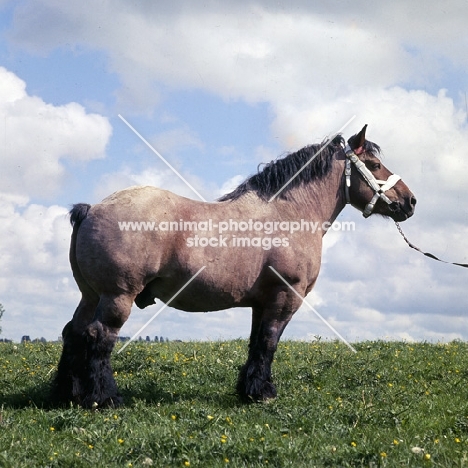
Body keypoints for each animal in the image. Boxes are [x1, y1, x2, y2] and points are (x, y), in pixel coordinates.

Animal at [52, 126, 416, 408]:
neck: (289, 214)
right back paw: (105, 398)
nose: (410, 201)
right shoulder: (285, 297)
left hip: (91, 296)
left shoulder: (261, 302)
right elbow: (268, 343)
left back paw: (68, 394)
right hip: (117, 297)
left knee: (74, 332)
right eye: (374, 164)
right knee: (99, 337)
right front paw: (263, 393)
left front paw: (249, 390)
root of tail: (92, 208)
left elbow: (256, 342)